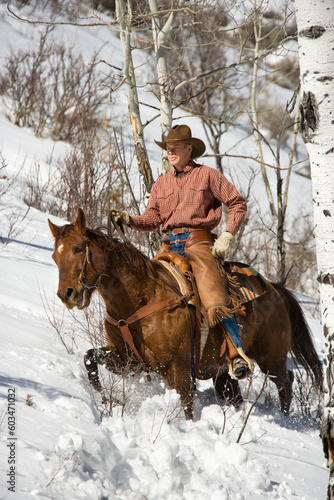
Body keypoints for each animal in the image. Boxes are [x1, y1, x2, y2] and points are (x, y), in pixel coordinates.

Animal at [48, 207, 322, 418]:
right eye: (54, 255)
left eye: (78, 248)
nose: (66, 294)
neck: (141, 300)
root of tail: (275, 289)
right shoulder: (127, 359)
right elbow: (89, 359)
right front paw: (107, 401)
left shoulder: (178, 369)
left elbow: (187, 406)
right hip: (223, 373)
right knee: (236, 394)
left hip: (271, 357)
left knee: (286, 380)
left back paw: (284, 418)